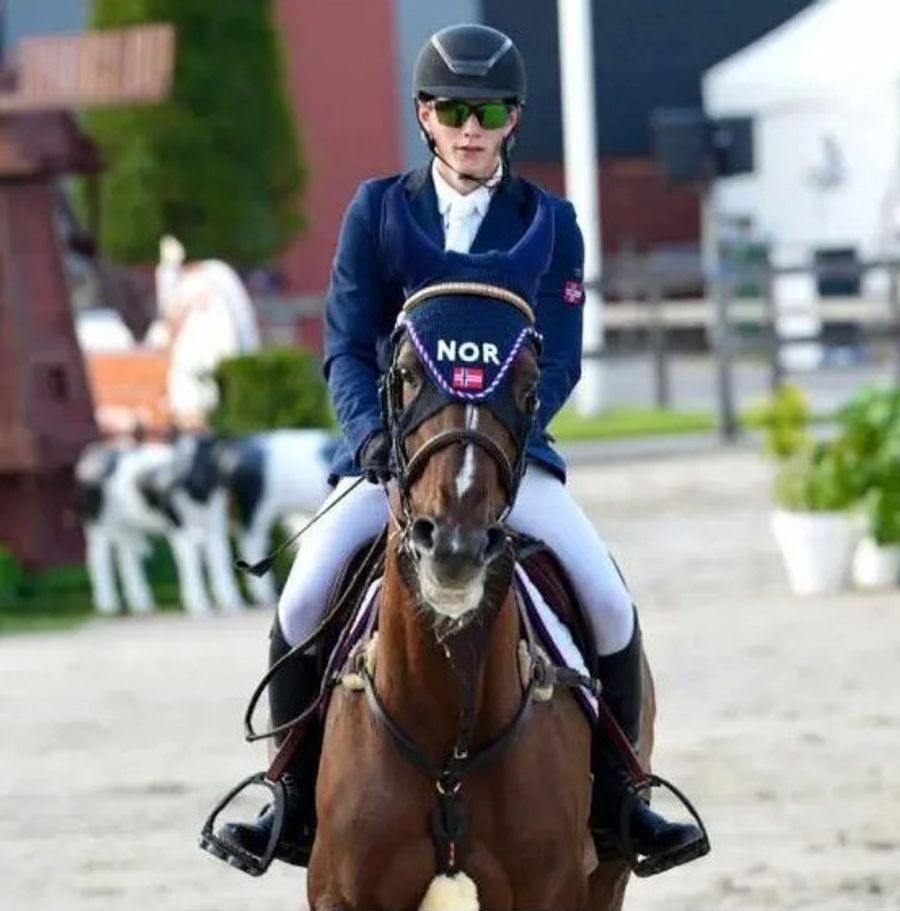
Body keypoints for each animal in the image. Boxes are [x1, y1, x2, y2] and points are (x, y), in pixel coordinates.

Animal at [306, 274, 655, 909]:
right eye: (407, 373)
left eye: (529, 385)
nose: (454, 543)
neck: (450, 741)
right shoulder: (344, 895)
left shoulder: (554, 891)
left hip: (607, 878)